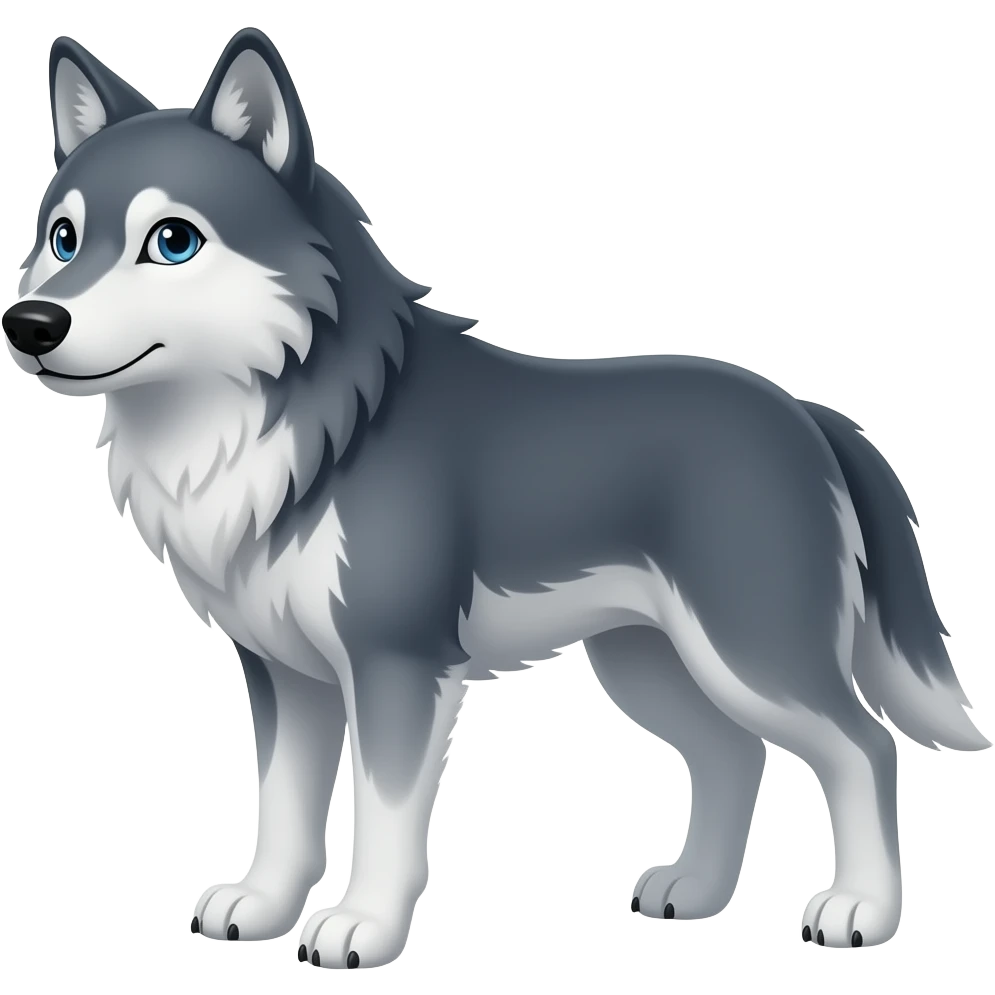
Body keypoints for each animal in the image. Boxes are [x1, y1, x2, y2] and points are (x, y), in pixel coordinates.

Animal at [3, 26, 989, 969]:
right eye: (62, 239)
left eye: (173, 240)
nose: (30, 324)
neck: (299, 428)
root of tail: (805, 412)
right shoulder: (285, 674)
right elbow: (282, 807)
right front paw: (262, 906)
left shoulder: (397, 666)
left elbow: (384, 820)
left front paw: (361, 928)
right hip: (647, 661)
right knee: (732, 752)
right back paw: (696, 891)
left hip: (749, 653)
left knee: (863, 747)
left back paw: (859, 910)